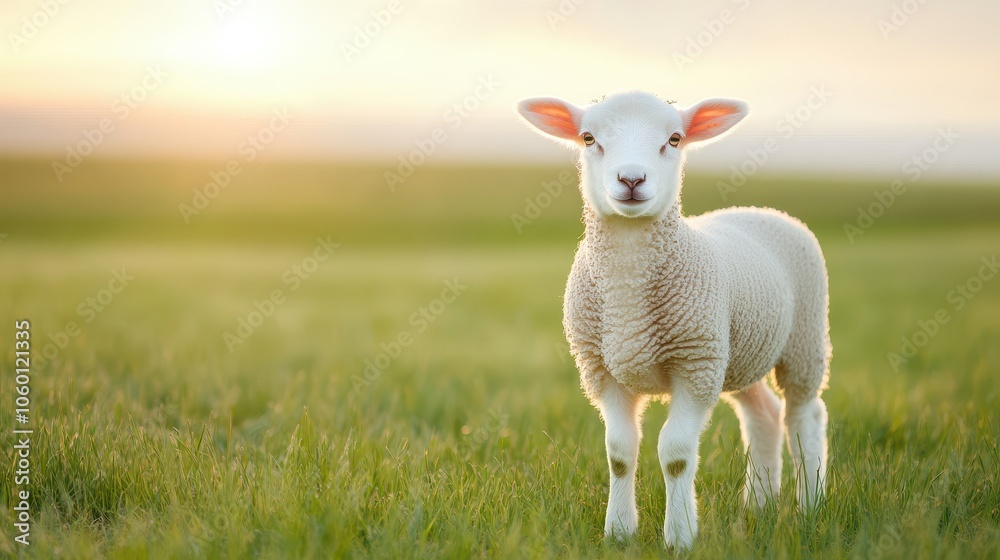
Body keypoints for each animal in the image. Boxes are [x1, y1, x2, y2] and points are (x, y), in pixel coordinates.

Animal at [516, 91, 831, 549]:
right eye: (588, 138)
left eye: (675, 139)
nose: (631, 179)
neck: (628, 290)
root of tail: (759, 209)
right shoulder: (602, 369)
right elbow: (619, 453)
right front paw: (619, 532)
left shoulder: (694, 366)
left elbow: (677, 455)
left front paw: (680, 536)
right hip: (737, 353)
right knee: (764, 417)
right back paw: (758, 505)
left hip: (803, 341)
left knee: (805, 417)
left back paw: (810, 505)